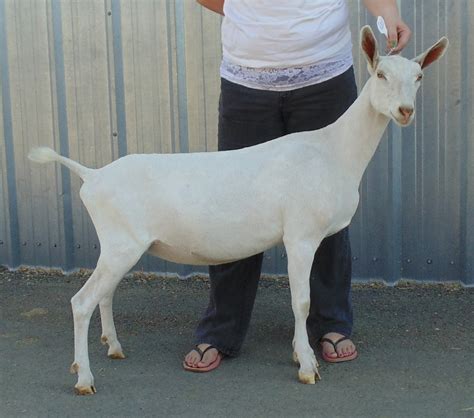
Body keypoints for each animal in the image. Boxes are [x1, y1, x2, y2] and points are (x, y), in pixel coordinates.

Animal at [29, 27, 448, 396]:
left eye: (419, 77)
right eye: (380, 74)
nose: (405, 111)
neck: (333, 150)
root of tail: (92, 175)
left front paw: (301, 354)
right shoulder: (300, 235)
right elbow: (301, 301)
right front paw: (307, 366)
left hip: (119, 246)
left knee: (105, 294)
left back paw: (114, 347)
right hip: (121, 243)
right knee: (81, 302)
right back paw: (84, 378)